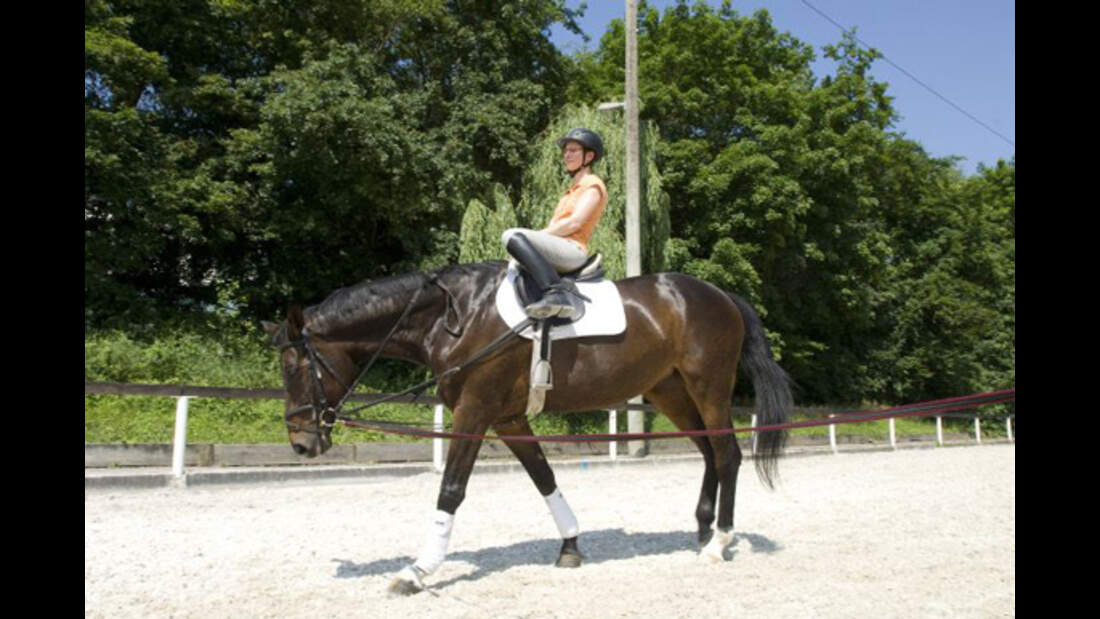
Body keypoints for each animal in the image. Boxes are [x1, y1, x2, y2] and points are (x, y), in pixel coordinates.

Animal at [263, 262, 792, 595]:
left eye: (292, 366)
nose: (300, 442)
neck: (453, 318)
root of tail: (720, 295)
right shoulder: (508, 418)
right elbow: (544, 478)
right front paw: (571, 546)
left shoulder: (474, 412)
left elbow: (450, 489)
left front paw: (417, 571)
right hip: (671, 392)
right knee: (708, 453)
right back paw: (703, 531)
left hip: (709, 387)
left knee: (727, 455)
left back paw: (719, 542)